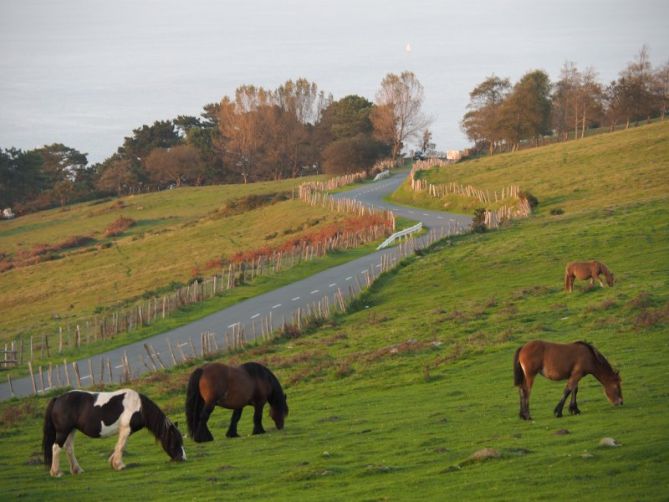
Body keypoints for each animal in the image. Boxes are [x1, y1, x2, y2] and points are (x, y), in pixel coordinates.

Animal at [43, 390, 185, 476]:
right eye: (175, 441)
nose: (182, 458)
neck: (138, 407)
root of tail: (58, 398)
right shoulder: (126, 429)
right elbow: (121, 446)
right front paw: (119, 465)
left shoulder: (125, 431)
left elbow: (119, 446)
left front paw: (113, 463)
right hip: (63, 431)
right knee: (56, 447)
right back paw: (56, 472)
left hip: (71, 430)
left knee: (68, 448)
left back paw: (77, 470)